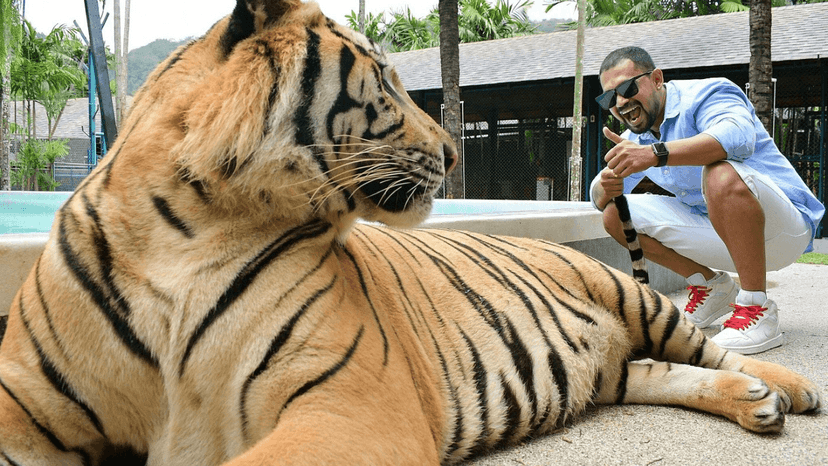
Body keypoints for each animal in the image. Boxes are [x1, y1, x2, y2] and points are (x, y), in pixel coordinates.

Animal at [0, 0, 821, 465]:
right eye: (388, 81)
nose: (455, 152)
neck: (188, 225)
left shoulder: (348, 406)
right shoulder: (25, 407)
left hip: (629, 295)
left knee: (704, 346)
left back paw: (785, 388)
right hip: (608, 367)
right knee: (654, 372)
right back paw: (753, 400)